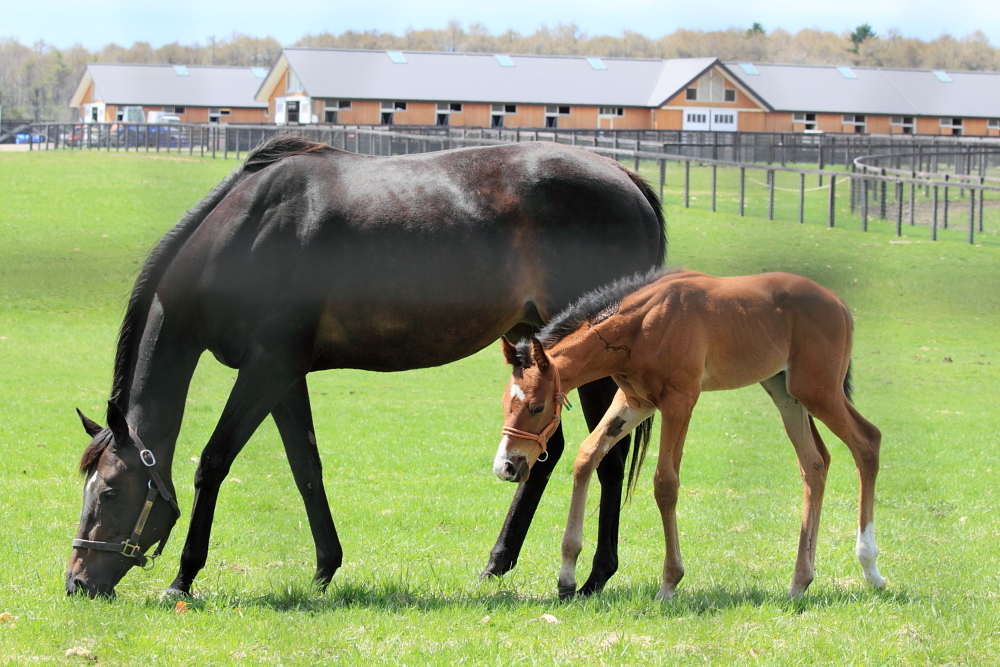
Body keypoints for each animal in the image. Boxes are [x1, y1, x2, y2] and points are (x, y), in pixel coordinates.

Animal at [66, 137, 668, 600]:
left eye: (111, 492)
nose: (77, 582)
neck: (248, 233)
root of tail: (623, 176)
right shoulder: (284, 376)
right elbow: (306, 467)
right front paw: (324, 568)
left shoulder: (265, 370)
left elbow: (212, 462)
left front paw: (183, 577)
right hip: (536, 345)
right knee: (545, 452)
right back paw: (497, 564)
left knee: (606, 455)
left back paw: (594, 578)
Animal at [492, 268, 884, 604]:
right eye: (506, 403)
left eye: (537, 407)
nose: (506, 466)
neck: (642, 325)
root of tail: (838, 303)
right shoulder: (635, 402)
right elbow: (588, 455)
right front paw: (567, 576)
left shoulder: (680, 401)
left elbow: (665, 483)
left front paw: (669, 583)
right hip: (785, 391)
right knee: (815, 463)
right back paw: (800, 583)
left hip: (818, 391)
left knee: (867, 441)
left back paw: (871, 568)